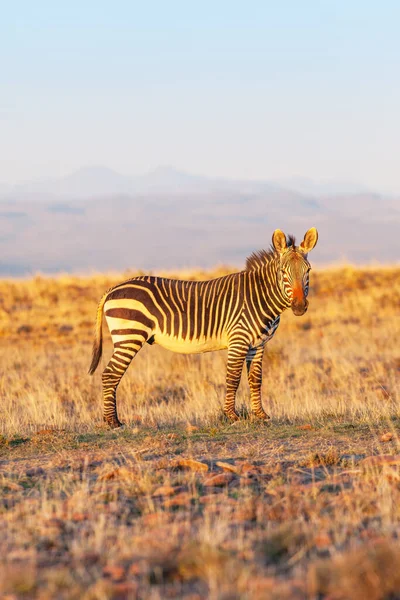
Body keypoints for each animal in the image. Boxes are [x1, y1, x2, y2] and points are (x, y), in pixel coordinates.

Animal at [88, 227, 318, 428]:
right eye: (283, 272)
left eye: (308, 271)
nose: (299, 307)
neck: (260, 297)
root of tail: (112, 289)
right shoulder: (238, 339)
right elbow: (233, 378)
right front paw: (232, 416)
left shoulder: (259, 344)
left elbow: (255, 379)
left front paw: (261, 415)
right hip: (129, 336)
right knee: (110, 375)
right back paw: (113, 422)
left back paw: (110, 419)